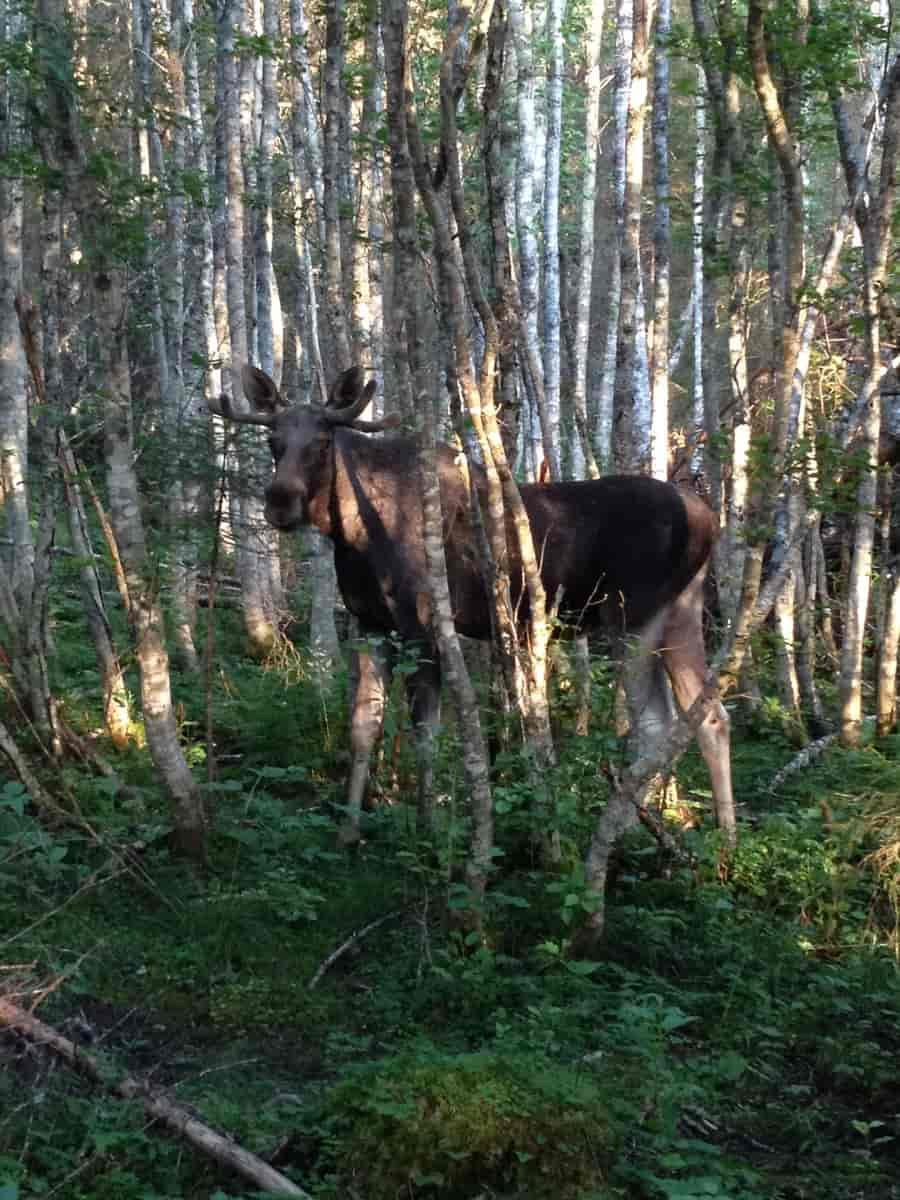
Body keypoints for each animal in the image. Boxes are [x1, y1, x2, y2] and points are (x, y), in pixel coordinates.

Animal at [214, 364, 734, 844]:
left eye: (323, 443)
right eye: (273, 441)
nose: (279, 501)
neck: (355, 535)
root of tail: (710, 520)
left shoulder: (421, 624)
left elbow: (426, 734)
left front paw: (428, 828)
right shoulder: (368, 624)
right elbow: (364, 726)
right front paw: (349, 830)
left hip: (630, 615)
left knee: (655, 723)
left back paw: (632, 832)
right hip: (679, 611)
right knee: (707, 715)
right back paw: (717, 843)